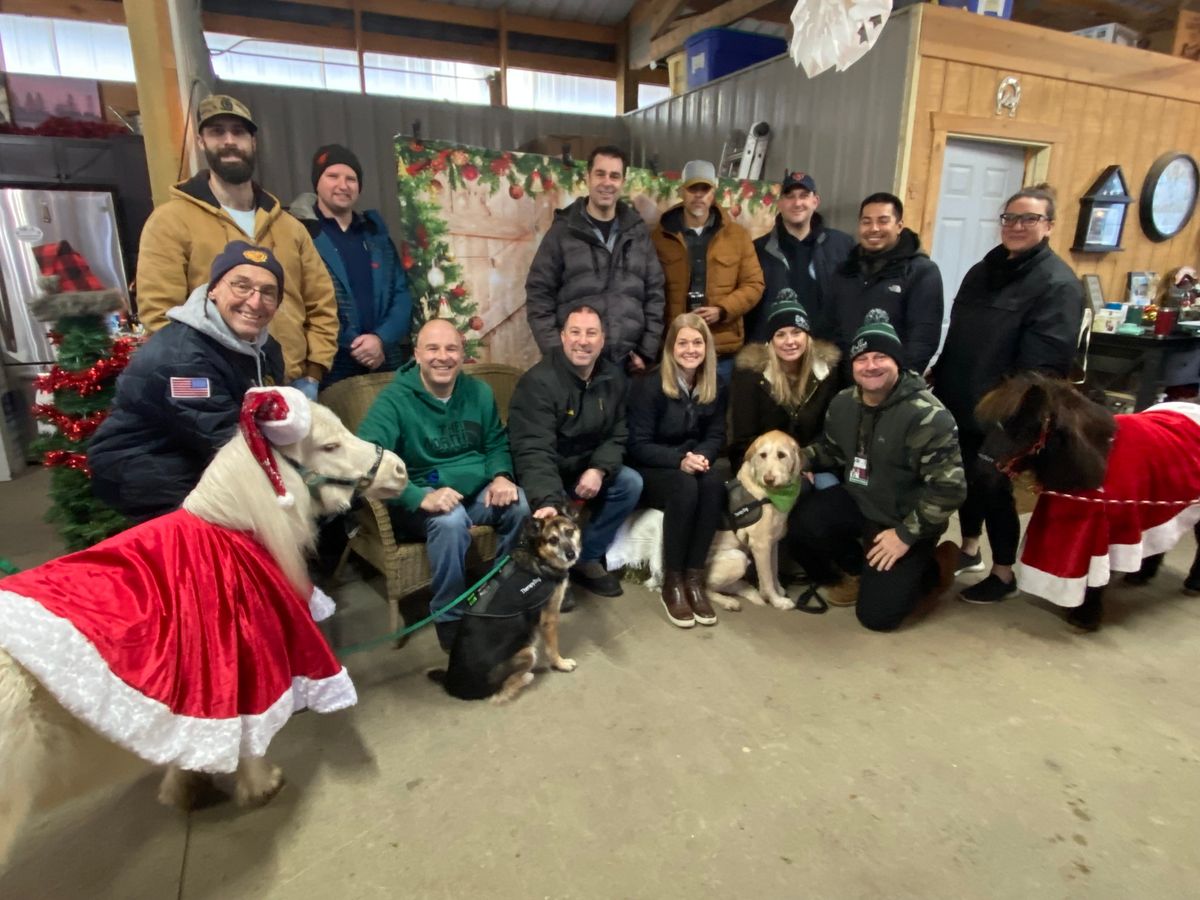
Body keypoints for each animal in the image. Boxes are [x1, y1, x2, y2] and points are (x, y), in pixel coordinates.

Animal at [0, 388, 408, 868]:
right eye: (328, 446)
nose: (399, 470)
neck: (235, 528)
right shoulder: (246, 669)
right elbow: (248, 731)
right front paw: (261, 783)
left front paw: (186, 786)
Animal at [429, 508, 583, 705]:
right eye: (553, 540)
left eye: (569, 532)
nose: (571, 554)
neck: (538, 556)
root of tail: (451, 685)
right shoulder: (549, 619)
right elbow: (552, 649)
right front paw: (561, 663)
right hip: (527, 652)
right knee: (501, 690)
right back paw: (526, 677)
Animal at [974, 374, 1200, 633]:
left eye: (1023, 427)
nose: (981, 474)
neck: (1097, 461)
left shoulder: (1102, 532)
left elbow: (1098, 575)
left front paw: (1085, 616)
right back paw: (1142, 575)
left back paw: (1193, 583)